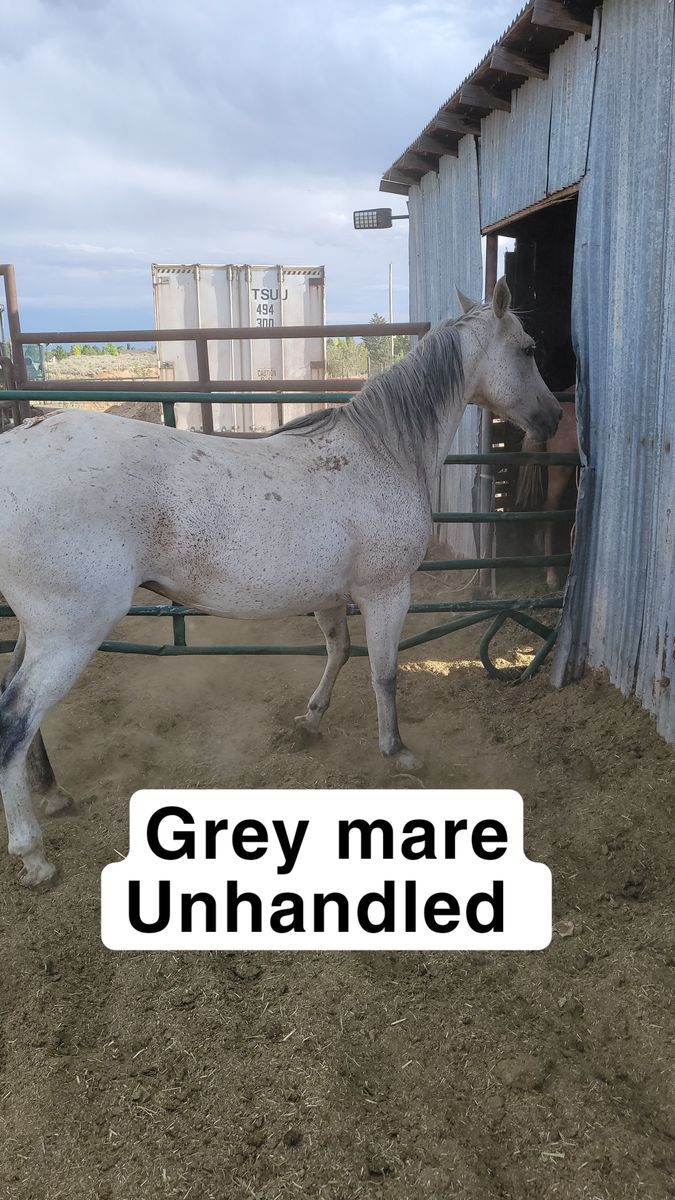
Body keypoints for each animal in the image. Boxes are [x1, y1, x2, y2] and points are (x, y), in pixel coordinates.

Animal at [0, 278, 561, 887]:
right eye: (528, 349)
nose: (555, 417)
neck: (382, 452)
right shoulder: (388, 592)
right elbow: (384, 674)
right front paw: (396, 750)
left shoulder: (330, 596)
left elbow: (339, 652)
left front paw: (311, 721)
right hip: (70, 635)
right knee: (14, 722)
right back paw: (33, 854)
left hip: (38, 631)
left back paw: (53, 793)